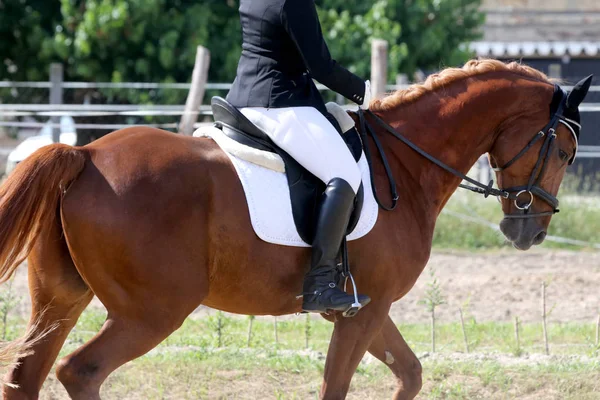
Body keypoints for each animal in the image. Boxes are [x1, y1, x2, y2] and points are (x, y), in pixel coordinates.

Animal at [0, 60, 592, 400]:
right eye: (564, 150)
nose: (530, 231)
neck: (405, 163)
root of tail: (83, 154)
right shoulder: (363, 313)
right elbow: (337, 386)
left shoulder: (364, 307)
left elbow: (411, 373)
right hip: (153, 311)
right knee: (81, 372)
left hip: (60, 297)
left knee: (26, 378)